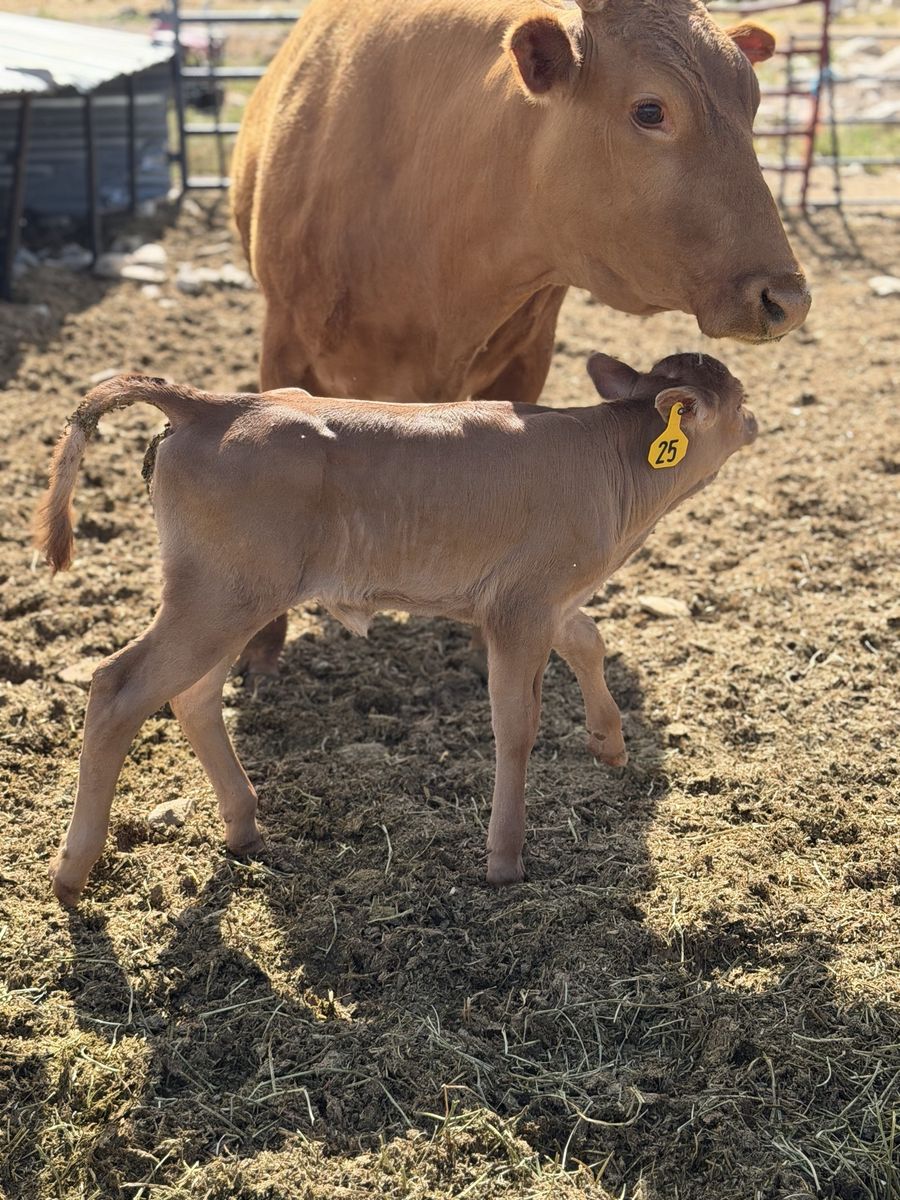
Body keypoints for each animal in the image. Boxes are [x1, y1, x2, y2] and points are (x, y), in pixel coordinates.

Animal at [37, 351, 756, 906]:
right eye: (739, 396)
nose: (754, 419)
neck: (615, 464)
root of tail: (215, 405)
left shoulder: (545, 598)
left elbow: (589, 639)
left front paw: (609, 742)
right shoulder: (519, 608)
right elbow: (516, 725)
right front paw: (505, 858)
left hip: (226, 596)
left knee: (193, 697)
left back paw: (242, 825)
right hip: (217, 597)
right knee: (118, 689)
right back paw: (72, 871)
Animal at [230, 0, 809, 673]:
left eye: (753, 101)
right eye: (650, 110)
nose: (787, 299)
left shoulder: (527, 357)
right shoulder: (283, 344)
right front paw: (260, 645)